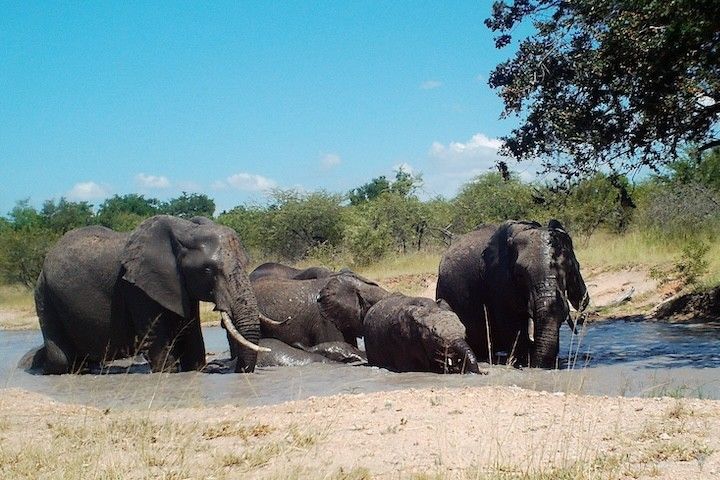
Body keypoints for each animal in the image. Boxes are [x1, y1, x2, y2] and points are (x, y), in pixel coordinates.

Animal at [33, 215, 266, 374]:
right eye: (208, 270)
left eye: (246, 262)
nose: (236, 370)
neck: (185, 230)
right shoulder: (136, 287)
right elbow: (156, 336)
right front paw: (168, 372)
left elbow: (190, 330)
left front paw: (196, 369)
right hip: (45, 295)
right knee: (61, 358)